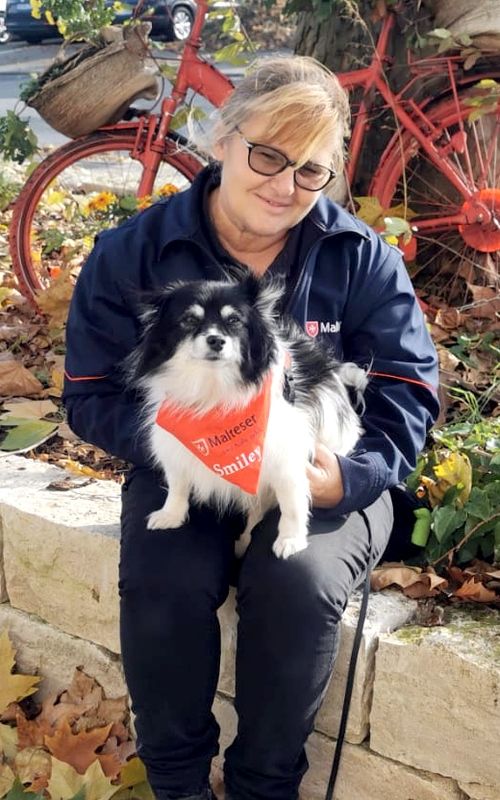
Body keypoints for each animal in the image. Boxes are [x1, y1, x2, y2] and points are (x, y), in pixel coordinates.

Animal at [125, 272, 368, 560]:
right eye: (190, 320)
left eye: (234, 321)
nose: (216, 340)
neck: (213, 389)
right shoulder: (173, 444)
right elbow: (178, 483)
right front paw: (171, 515)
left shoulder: (285, 456)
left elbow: (292, 501)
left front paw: (291, 539)